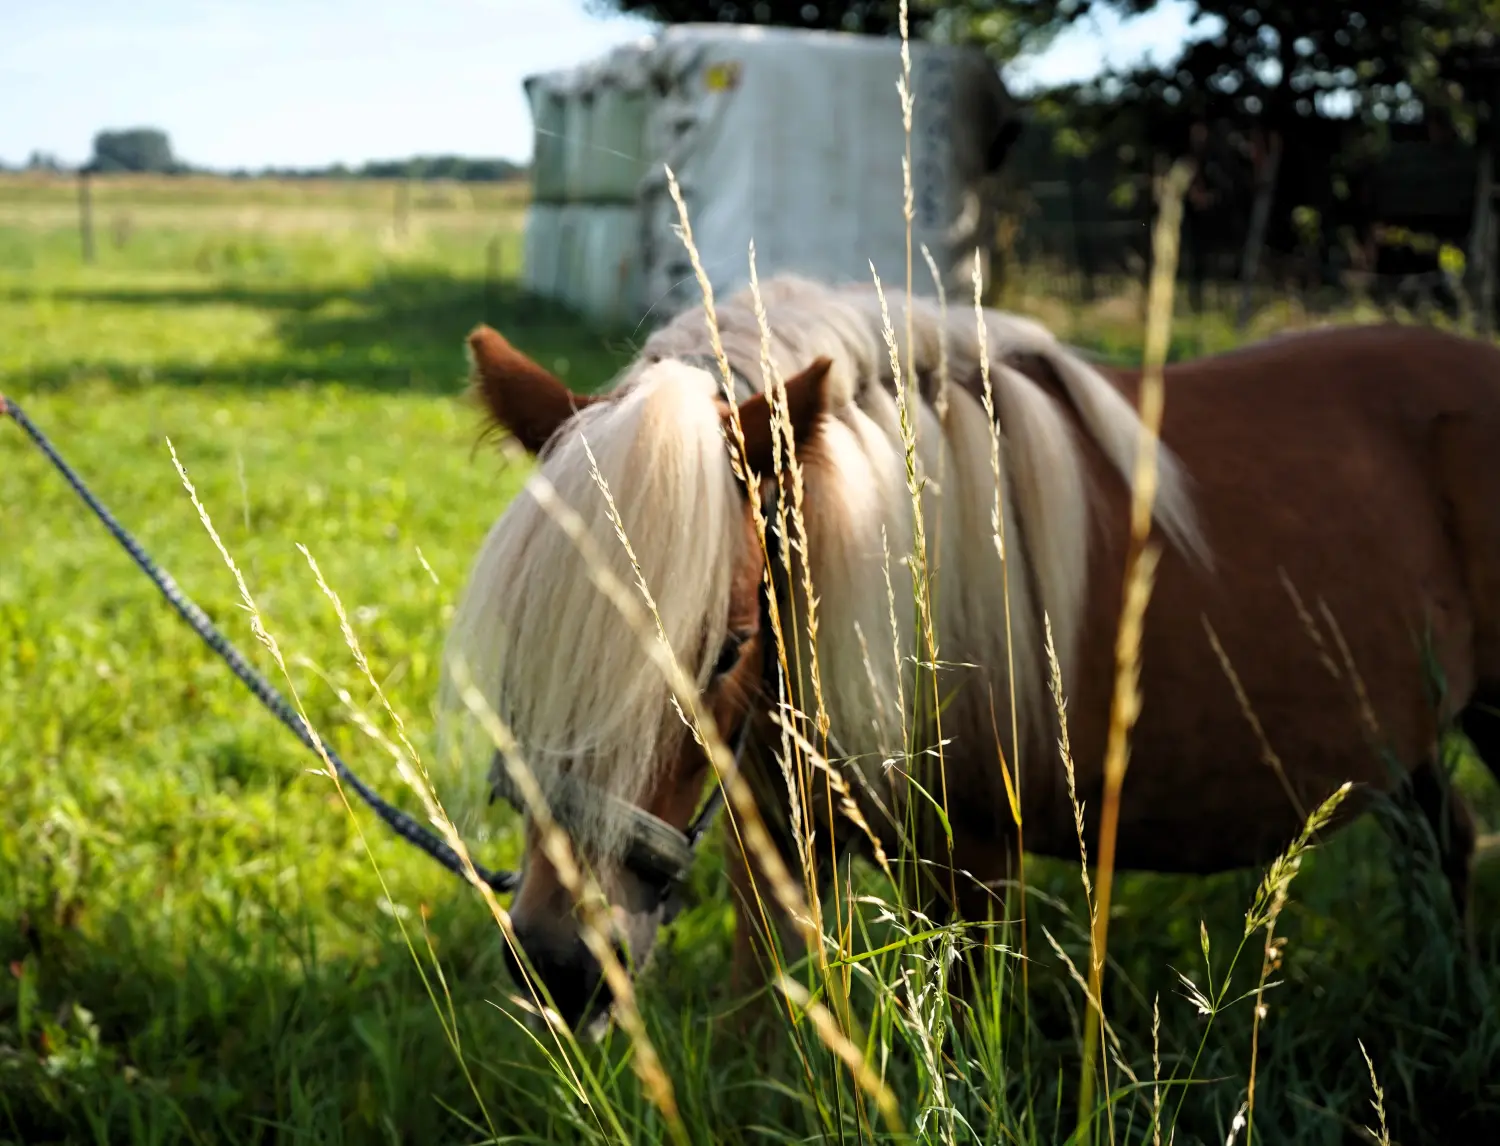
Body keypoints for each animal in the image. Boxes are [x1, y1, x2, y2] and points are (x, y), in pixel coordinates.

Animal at [438, 276, 1500, 1032]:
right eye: (525, 648)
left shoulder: (976, 870)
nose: (561, 964)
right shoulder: (774, 849)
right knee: (1447, 839)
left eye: (729, 647)